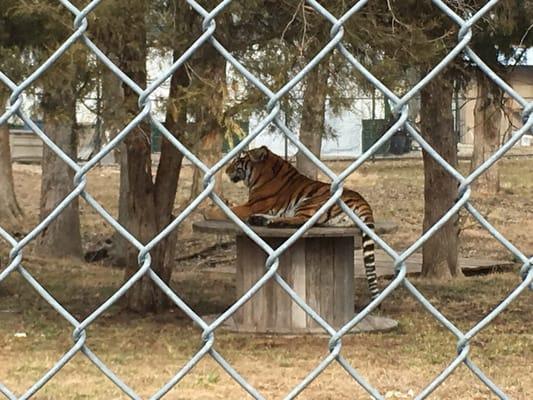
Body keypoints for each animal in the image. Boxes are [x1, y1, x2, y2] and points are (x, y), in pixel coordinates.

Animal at [210, 146, 380, 300]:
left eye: (237, 160)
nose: (226, 171)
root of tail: (363, 201)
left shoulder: (251, 205)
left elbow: (227, 210)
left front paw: (207, 211)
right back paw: (259, 219)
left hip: (309, 201)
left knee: (302, 221)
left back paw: (269, 221)